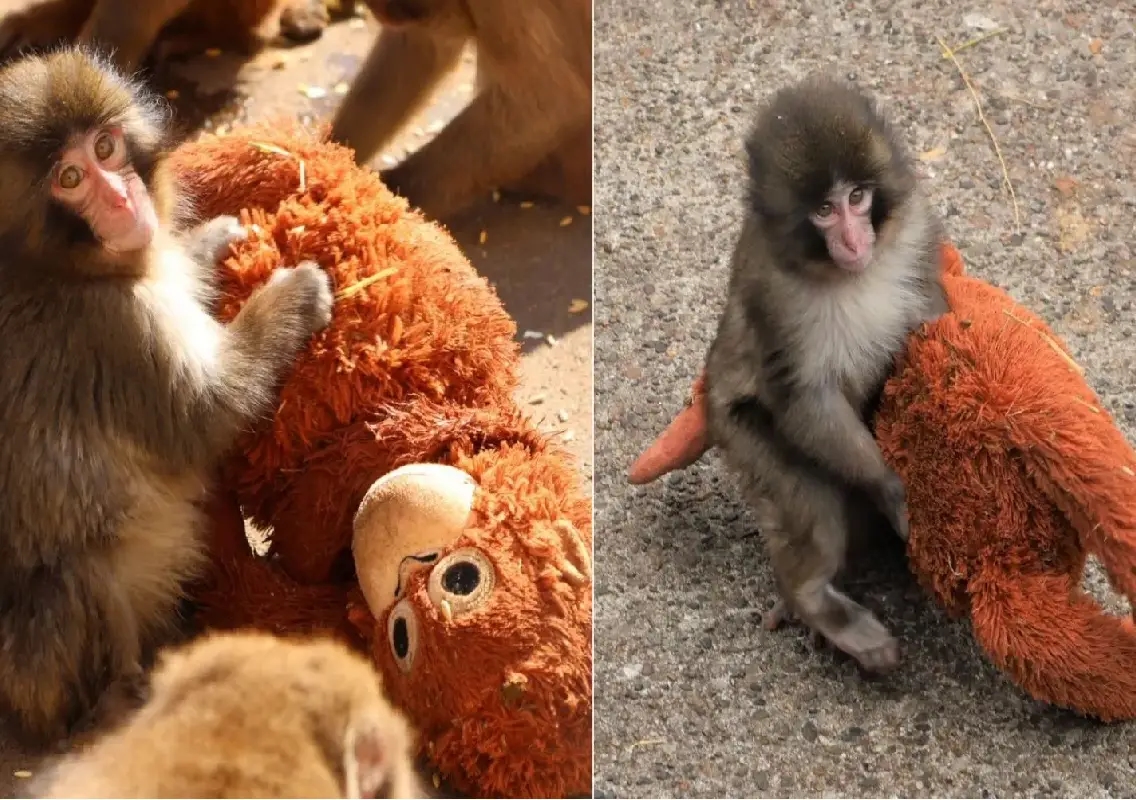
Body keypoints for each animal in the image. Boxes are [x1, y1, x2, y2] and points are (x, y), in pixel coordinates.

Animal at [0, 46, 334, 748]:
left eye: (106, 147)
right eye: (70, 177)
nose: (121, 198)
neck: (59, 268)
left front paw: (210, 240)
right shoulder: (113, 331)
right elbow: (206, 416)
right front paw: (292, 299)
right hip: (37, 672)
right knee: (72, 579)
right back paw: (114, 703)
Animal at [703, 75, 949, 674]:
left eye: (857, 198)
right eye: (822, 210)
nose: (855, 241)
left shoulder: (916, 233)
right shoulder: (772, 292)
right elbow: (803, 397)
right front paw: (891, 488)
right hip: (740, 435)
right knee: (810, 506)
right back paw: (813, 601)